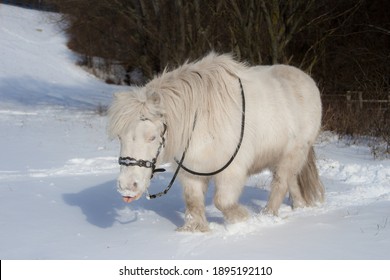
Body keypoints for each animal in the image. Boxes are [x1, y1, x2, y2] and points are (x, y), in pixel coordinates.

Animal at [108, 52, 324, 232]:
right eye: (120, 137)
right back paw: (298, 206)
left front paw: (242, 219)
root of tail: (307, 80)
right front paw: (195, 228)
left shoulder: (231, 171)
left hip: (293, 153)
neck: (200, 119)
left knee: (280, 183)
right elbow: (193, 201)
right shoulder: (192, 171)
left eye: (152, 136)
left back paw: (268, 215)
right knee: (292, 181)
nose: (127, 186)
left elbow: (223, 202)